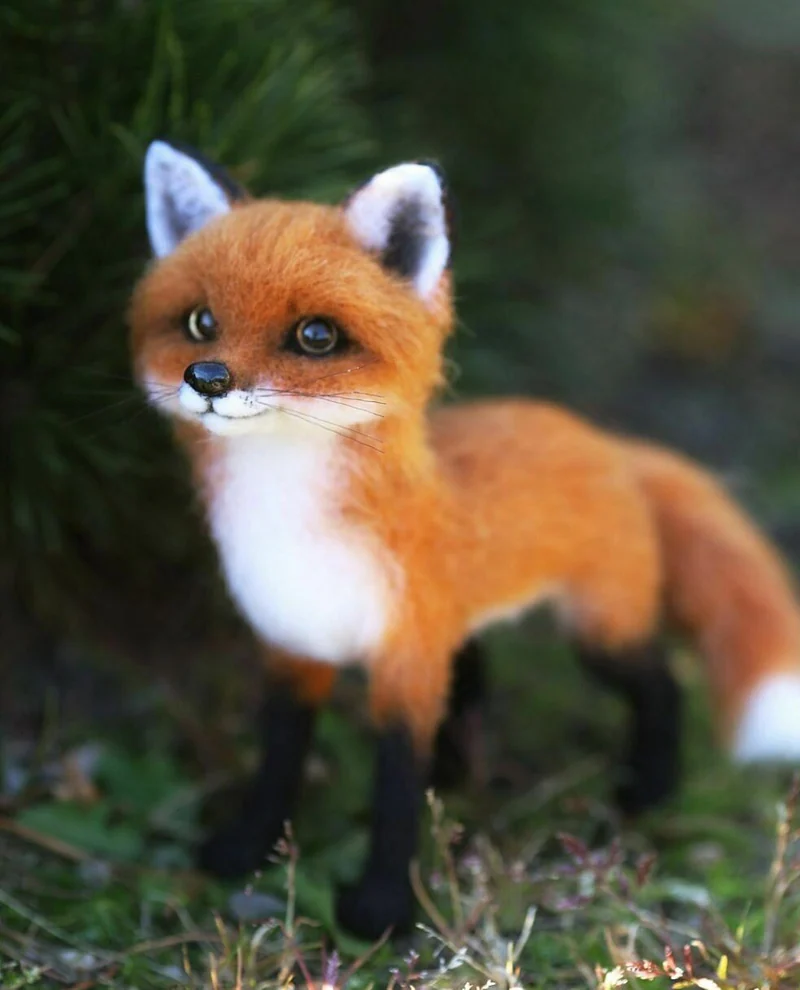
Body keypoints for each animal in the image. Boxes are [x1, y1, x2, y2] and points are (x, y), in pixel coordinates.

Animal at [129, 140, 800, 940]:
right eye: (201, 322)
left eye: (315, 335)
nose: (207, 378)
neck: (296, 532)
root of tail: (607, 441)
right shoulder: (293, 649)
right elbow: (277, 766)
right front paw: (243, 849)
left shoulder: (406, 662)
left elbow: (393, 796)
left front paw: (380, 910)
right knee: (477, 675)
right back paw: (461, 773)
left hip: (599, 631)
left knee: (661, 684)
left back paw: (648, 791)